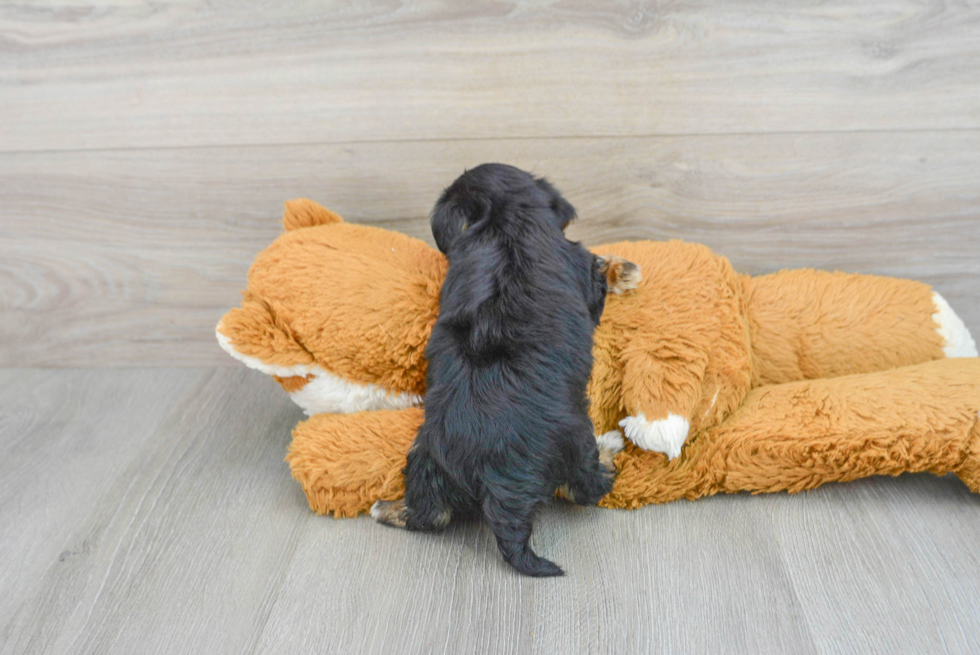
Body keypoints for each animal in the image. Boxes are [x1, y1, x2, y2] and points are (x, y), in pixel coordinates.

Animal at [372, 165, 632, 580]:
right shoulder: (580, 269)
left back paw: (387, 509)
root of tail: (498, 476)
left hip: (427, 454)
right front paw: (618, 269)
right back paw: (609, 450)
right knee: (585, 488)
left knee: (431, 515)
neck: (504, 217)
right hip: (575, 439)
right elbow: (596, 273)